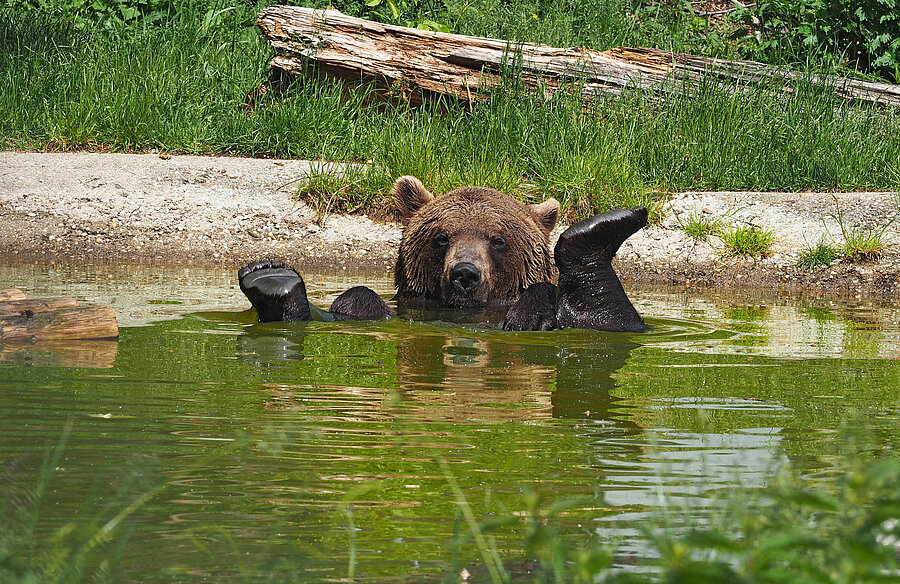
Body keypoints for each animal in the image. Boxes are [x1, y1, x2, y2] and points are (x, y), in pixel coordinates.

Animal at [239, 173, 648, 330]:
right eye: (441, 237)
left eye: (498, 239)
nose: (465, 273)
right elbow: (349, 307)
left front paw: (529, 312)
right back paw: (273, 279)